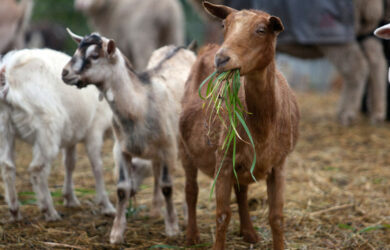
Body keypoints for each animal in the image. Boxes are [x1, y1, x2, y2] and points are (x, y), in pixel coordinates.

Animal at [0, 48, 116, 221]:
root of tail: (9, 72)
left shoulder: (72, 135)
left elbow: (70, 163)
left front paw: (70, 198)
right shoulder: (94, 130)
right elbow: (97, 166)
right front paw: (107, 206)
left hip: (4, 127)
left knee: (7, 166)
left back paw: (15, 211)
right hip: (46, 128)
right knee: (37, 169)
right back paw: (49, 211)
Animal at [62, 30, 197, 243]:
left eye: (95, 55)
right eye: (77, 50)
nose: (65, 73)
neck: (139, 105)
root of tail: (182, 47)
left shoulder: (168, 147)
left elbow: (168, 186)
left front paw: (172, 228)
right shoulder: (121, 149)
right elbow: (122, 189)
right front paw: (116, 233)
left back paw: (184, 213)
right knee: (156, 171)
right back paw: (155, 210)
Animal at [179, 2, 298, 250]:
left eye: (261, 30)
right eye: (224, 25)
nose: (222, 59)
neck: (263, 128)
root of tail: (208, 48)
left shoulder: (279, 163)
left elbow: (276, 217)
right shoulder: (223, 159)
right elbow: (222, 215)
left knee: (242, 192)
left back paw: (249, 232)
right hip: (184, 148)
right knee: (191, 190)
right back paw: (192, 235)